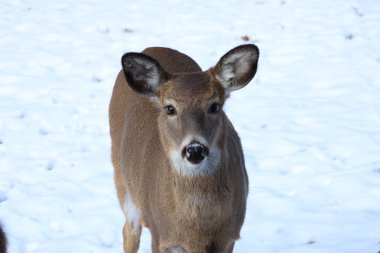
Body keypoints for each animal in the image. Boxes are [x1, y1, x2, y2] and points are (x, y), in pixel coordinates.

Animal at [108, 44, 260, 252]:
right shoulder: (161, 237)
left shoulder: (229, 237)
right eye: (170, 108)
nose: (195, 149)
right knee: (129, 231)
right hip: (123, 183)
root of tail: (151, 47)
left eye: (215, 106)